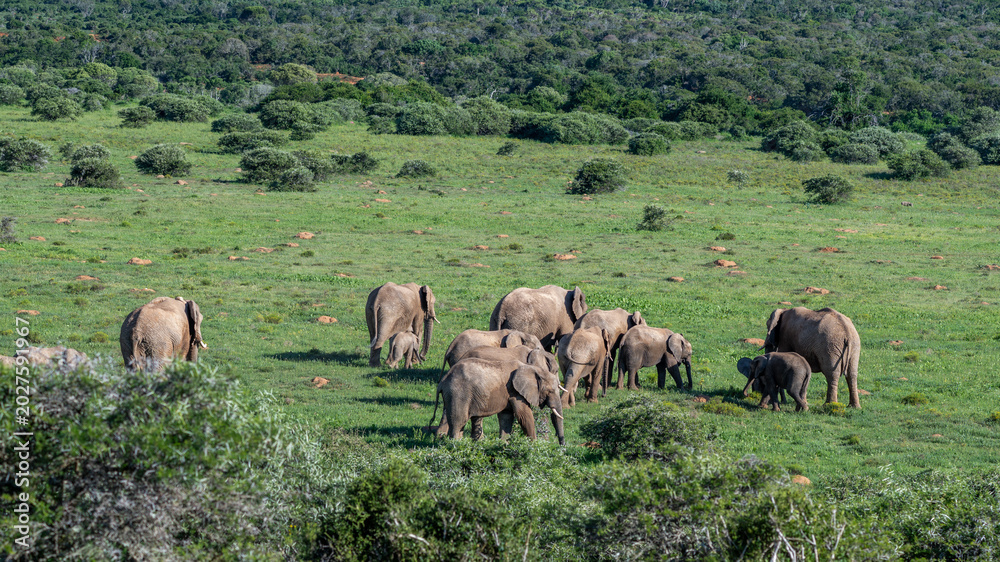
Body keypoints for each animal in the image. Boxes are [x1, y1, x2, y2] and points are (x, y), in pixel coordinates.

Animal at [432, 358, 565, 445]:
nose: (562, 446)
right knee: (459, 421)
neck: (531, 367)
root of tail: (443, 381)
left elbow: (506, 417)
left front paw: (503, 444)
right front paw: (534, 446)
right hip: (458, 394)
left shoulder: (509, 393)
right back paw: (457, 446)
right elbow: (524, 415)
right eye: (550, 391)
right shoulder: (515, 392)